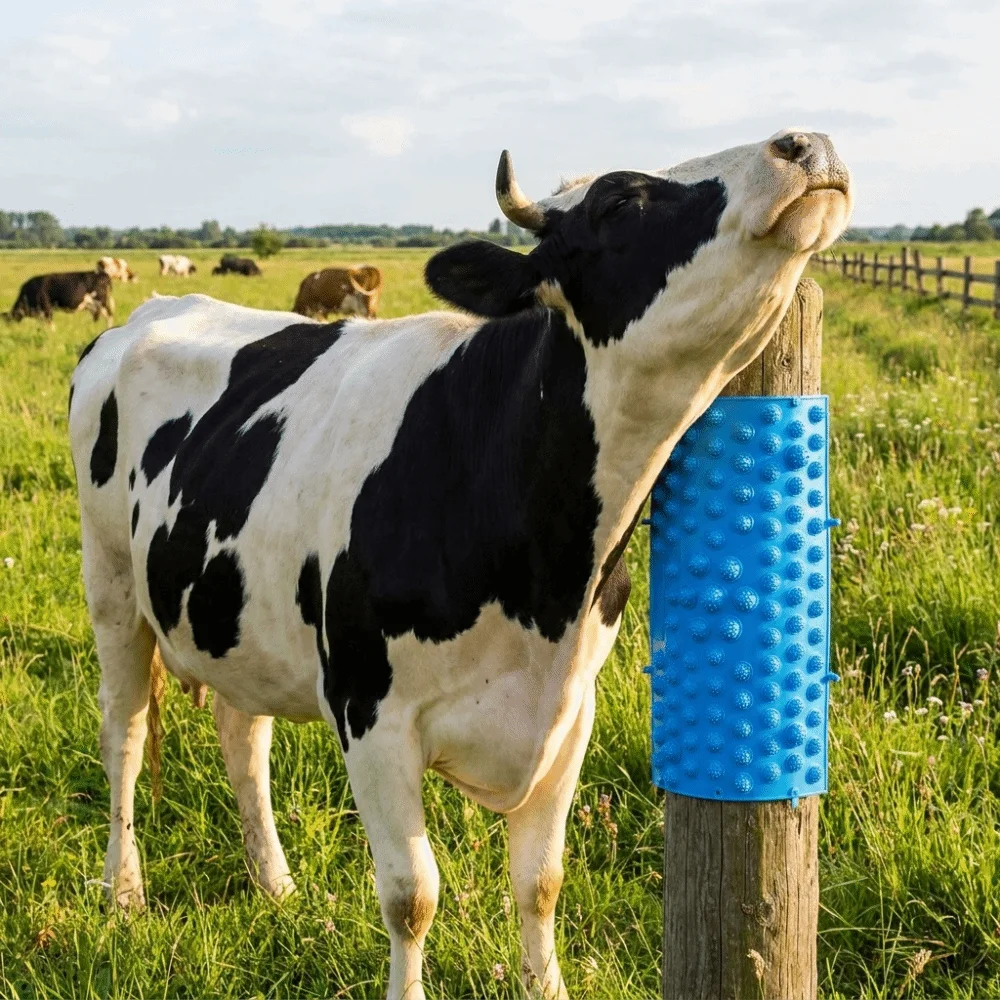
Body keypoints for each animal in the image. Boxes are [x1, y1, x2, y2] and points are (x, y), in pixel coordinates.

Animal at [68, 129, 851, 1000]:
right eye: (620, 201)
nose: (804, 143)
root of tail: (150, 312)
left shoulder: (570, 711)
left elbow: (541, 882)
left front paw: (548, 987)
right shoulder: (370, 713)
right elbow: (412, 895)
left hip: (237, 615)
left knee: (244, 735)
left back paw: (274, 882)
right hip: (111, 583)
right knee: (124, 731)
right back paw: (124, 890)